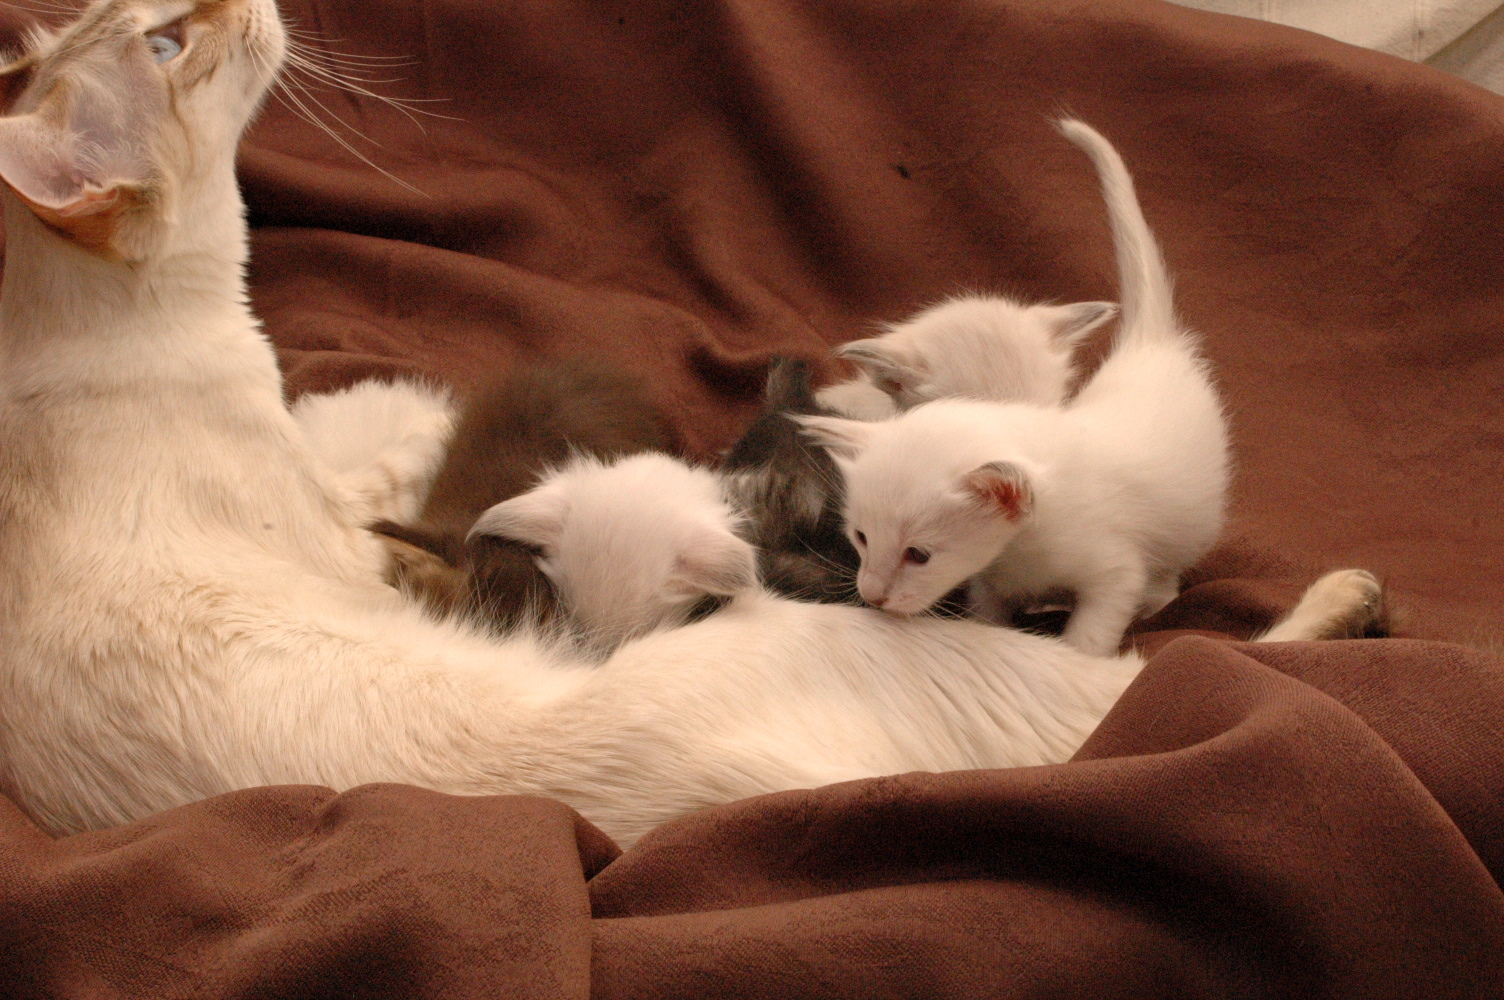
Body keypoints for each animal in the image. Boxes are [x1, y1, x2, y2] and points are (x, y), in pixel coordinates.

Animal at [798, 119, 1229, 656]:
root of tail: (1152, 344)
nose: (873, 596)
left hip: (1190, 522)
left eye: (1053, 408)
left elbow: (1088, 637)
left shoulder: (1114, 570)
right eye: (859, 538)